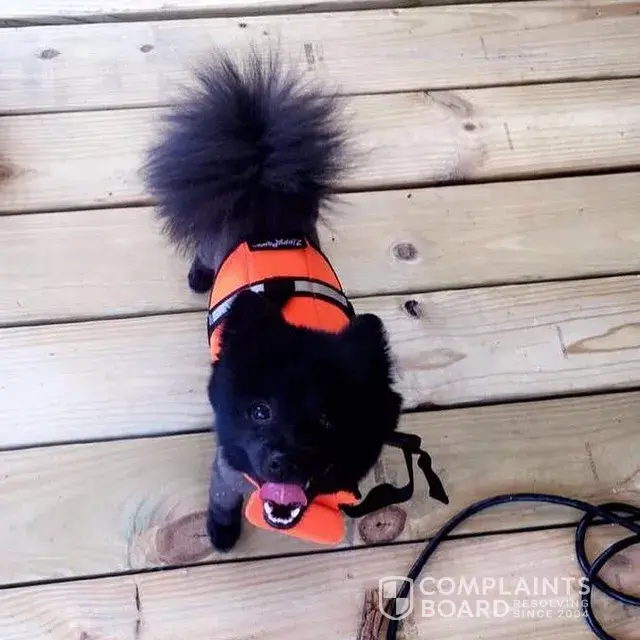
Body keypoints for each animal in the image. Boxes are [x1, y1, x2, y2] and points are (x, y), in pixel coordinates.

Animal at [144, 50, 403, 551]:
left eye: (327, 419)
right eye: (261, 412)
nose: (284, 458)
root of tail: (262, 186)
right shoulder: (228, 469)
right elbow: (222, 499)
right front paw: (221, 532)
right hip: (214, 241)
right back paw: (199, 274)